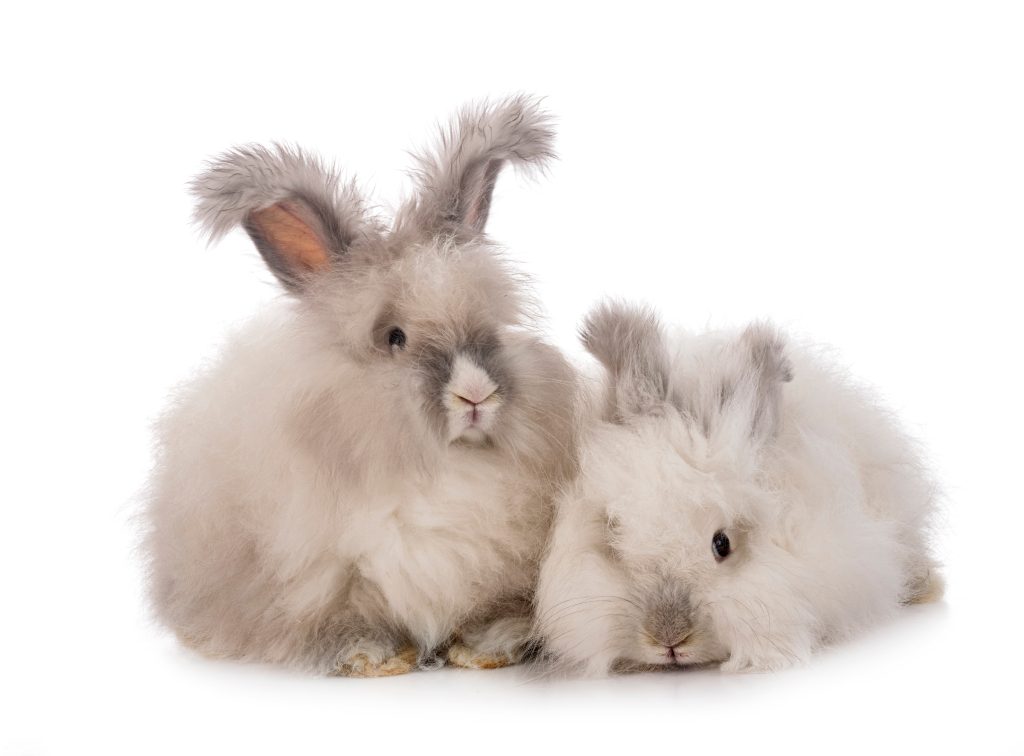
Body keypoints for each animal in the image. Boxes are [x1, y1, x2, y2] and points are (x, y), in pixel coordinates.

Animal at [143, 96, 579, 676]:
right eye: (394, 338)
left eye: (488, 326)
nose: (476, 395)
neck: (442, 471)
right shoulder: (327, 578)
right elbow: (349, 622)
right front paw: (374, 657)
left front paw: (487, 647)